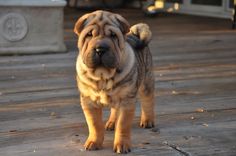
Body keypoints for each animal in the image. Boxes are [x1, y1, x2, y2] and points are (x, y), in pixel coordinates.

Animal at [74, 10, 155, 154]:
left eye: (113, 35)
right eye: (89, 35)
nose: (100, 49)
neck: (102, 76)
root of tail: (134, 35)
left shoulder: (126, 101)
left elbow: (122, 125)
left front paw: (122, 145)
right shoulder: (89, 101)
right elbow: (94, 124)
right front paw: (94, 142)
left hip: (146, 82)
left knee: (148, 101)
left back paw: (148, 120)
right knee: (114, 110)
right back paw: (111, 123)